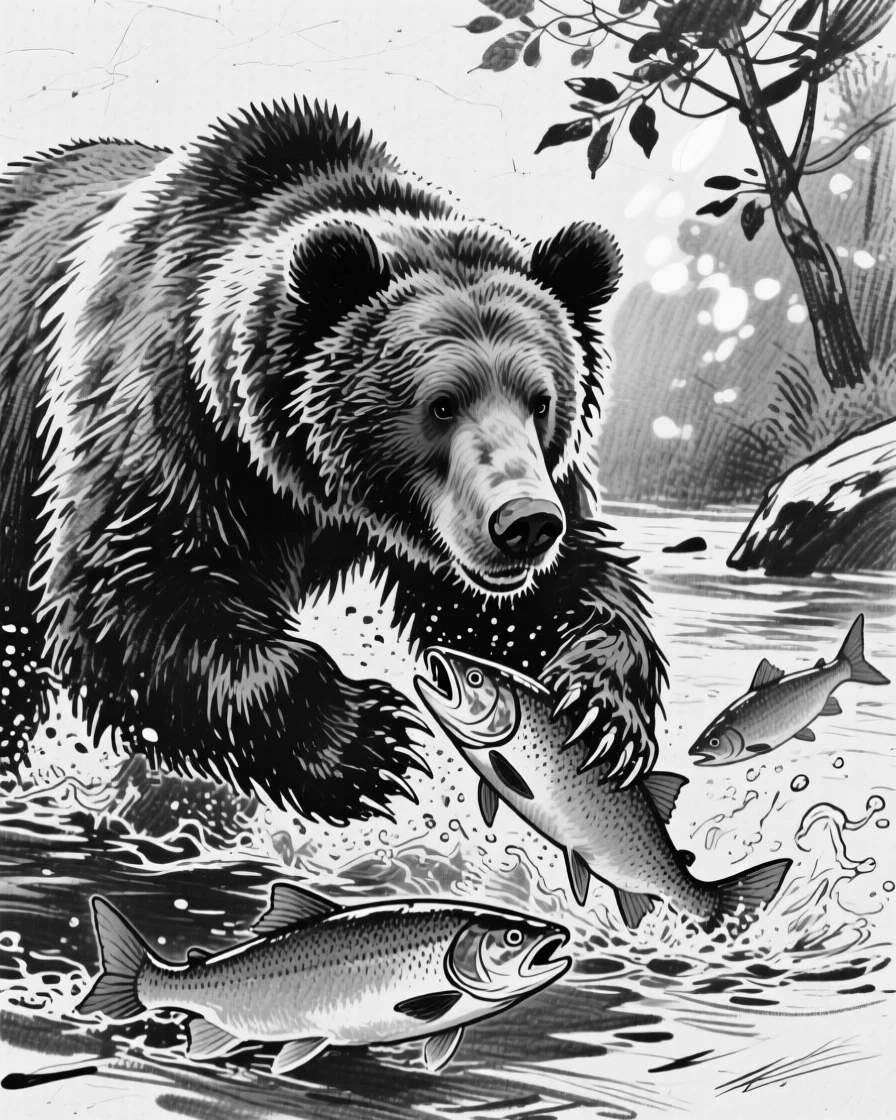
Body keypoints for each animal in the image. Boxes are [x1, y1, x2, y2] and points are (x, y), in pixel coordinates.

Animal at [0, 99, 666, 823]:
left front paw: (599, 706)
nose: (523, 523)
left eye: (540, 401)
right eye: (441, 404)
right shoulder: (169, 411)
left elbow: (549, 591)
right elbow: (129, 586)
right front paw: (370, 738)